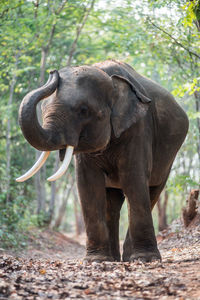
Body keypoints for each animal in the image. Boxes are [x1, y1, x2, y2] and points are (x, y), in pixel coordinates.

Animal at [16, 59, 189, 262]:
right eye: (42, 109)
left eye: (83, 110)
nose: (53, 72)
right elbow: (88, 183)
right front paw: (95, 260)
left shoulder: (140, 127)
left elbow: (134, 178)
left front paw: (145, 259)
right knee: (112, 204)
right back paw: (113, 259)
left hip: (169, 158)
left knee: (153, 190)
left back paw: (128, 257)